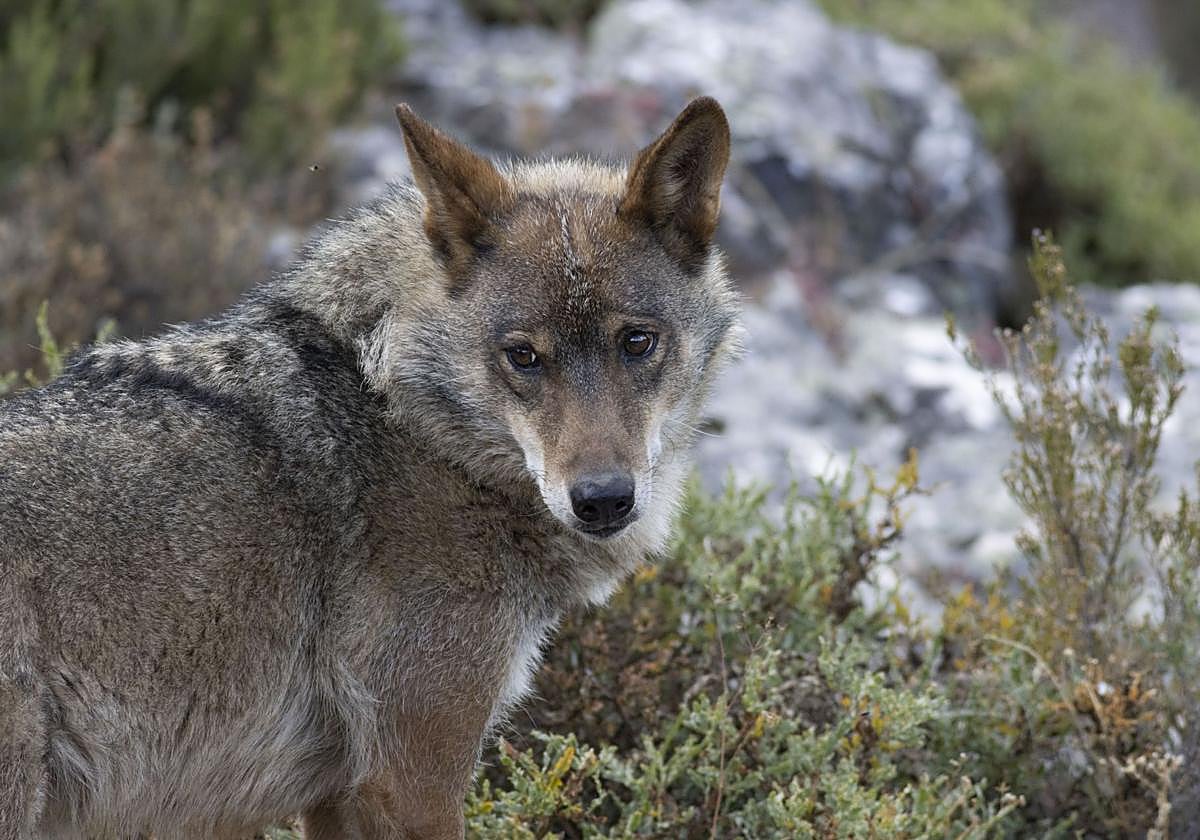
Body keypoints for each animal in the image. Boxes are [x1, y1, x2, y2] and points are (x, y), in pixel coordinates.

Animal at [0, 96, 739, 839]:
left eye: (637, 342)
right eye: (523, 357)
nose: (604, 499)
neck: (412, 421)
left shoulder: (335, 795)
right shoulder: (412, 781)